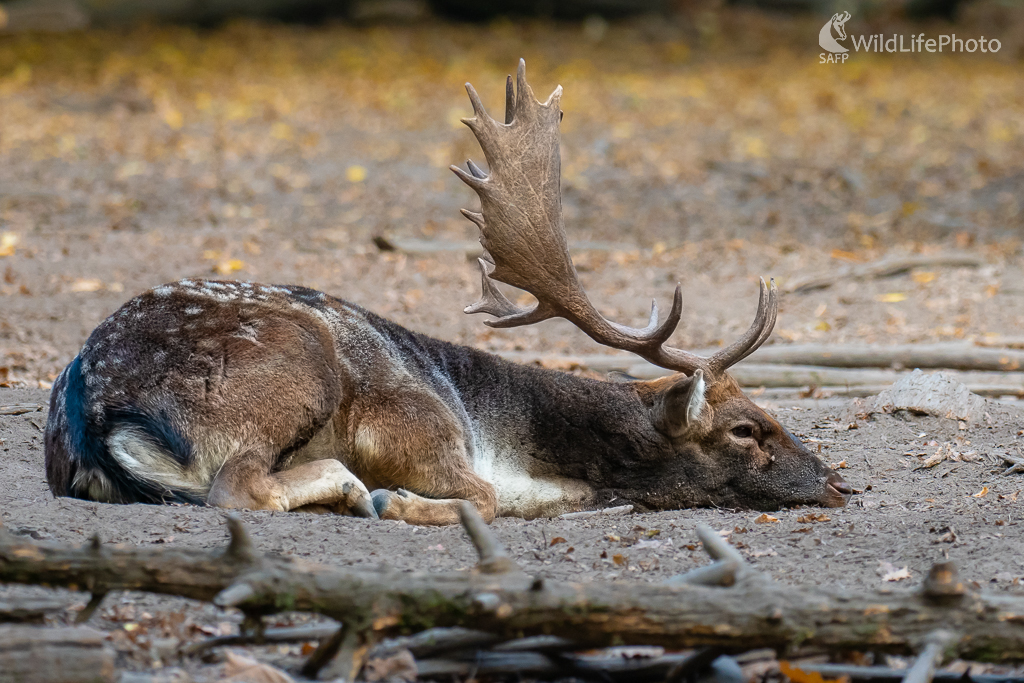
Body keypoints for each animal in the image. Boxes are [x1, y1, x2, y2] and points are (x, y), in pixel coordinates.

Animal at [44, 61, 851, 528]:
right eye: (746, 428)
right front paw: (392, 499)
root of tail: (93, 406)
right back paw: (351, 489)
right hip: (297, 367)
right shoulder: (413, 424)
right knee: (235, 484)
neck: (513, 446)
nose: (838, 481)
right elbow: (480, 499)